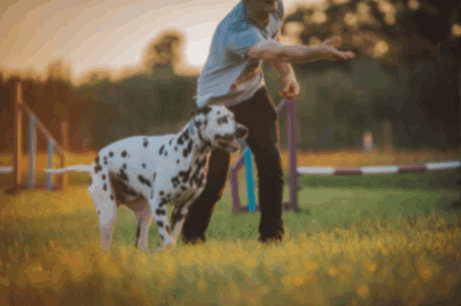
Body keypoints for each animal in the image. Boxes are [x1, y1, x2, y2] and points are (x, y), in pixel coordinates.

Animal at [45, 105, 248, 253]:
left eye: (233, 117)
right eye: (221, 119)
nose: (243, 129)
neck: (189, 156)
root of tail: (94, 164)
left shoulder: (181, 209)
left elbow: (171, 238)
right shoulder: (159, 204)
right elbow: (168, 241)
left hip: (145, 215)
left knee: (140, 244)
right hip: (108, 213)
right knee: (105, 245)